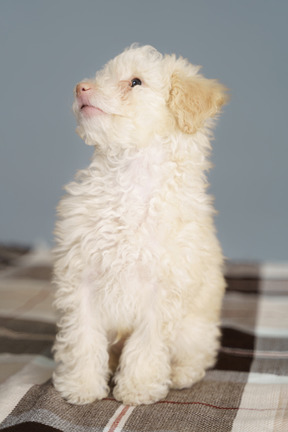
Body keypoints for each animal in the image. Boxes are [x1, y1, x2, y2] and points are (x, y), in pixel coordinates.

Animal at [53, 44, 228, 404]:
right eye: (103, 74)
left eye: (136, 82)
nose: (80, 87)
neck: (130, 179)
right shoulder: (80, 280)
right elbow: (82, 338)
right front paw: (81, 386)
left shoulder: (162, 293)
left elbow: (146, 346)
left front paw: (138, 388)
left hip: (196, 329)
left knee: (198, 355)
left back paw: (182, 375)